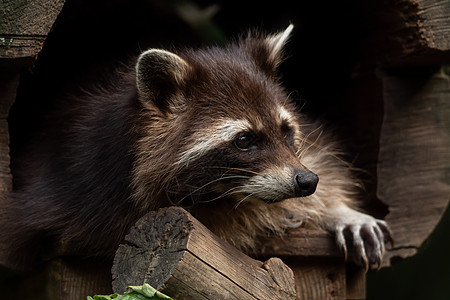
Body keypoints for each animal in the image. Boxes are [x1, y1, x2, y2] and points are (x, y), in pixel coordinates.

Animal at [0, 25, 390, 270]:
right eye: (244, 140)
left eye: (286, 131)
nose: (307, 182)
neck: (222, 195)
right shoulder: (72, 182)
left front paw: (337, 207)